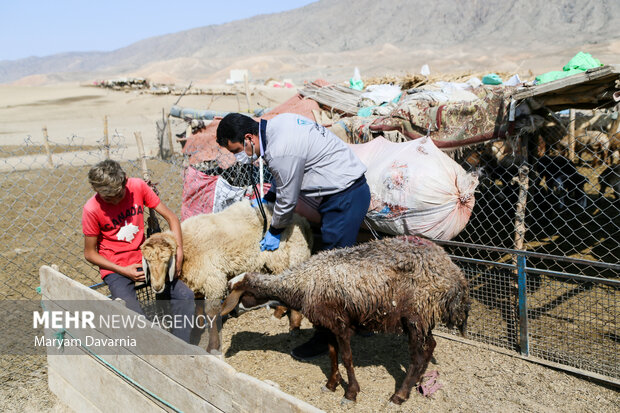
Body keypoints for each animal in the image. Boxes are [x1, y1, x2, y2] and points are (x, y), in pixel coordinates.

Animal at [142, 198, 312, 350]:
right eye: (147, 261)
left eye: (166, 260)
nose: (157, 287)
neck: (187, 249)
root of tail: (301, 220)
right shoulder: (198, 281)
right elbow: (198, 309)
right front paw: (198, 328)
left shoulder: (213, 280)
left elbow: (211, 313)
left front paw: (212, 345)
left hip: (288, 259)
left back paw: (292, 324)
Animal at [223, 233, 470, 404]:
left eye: (240, 295)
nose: (231, 313)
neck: (302, 283)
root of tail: (455, 274)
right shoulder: (326, 325)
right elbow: (333, 355)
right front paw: (331, 384)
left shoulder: (340, 324)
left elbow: (347, 358)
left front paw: (350, 394)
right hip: (424, 318)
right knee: (430, 346)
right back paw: (417, 382)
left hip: (416, 314)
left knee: (419, 355)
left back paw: (399, 395)